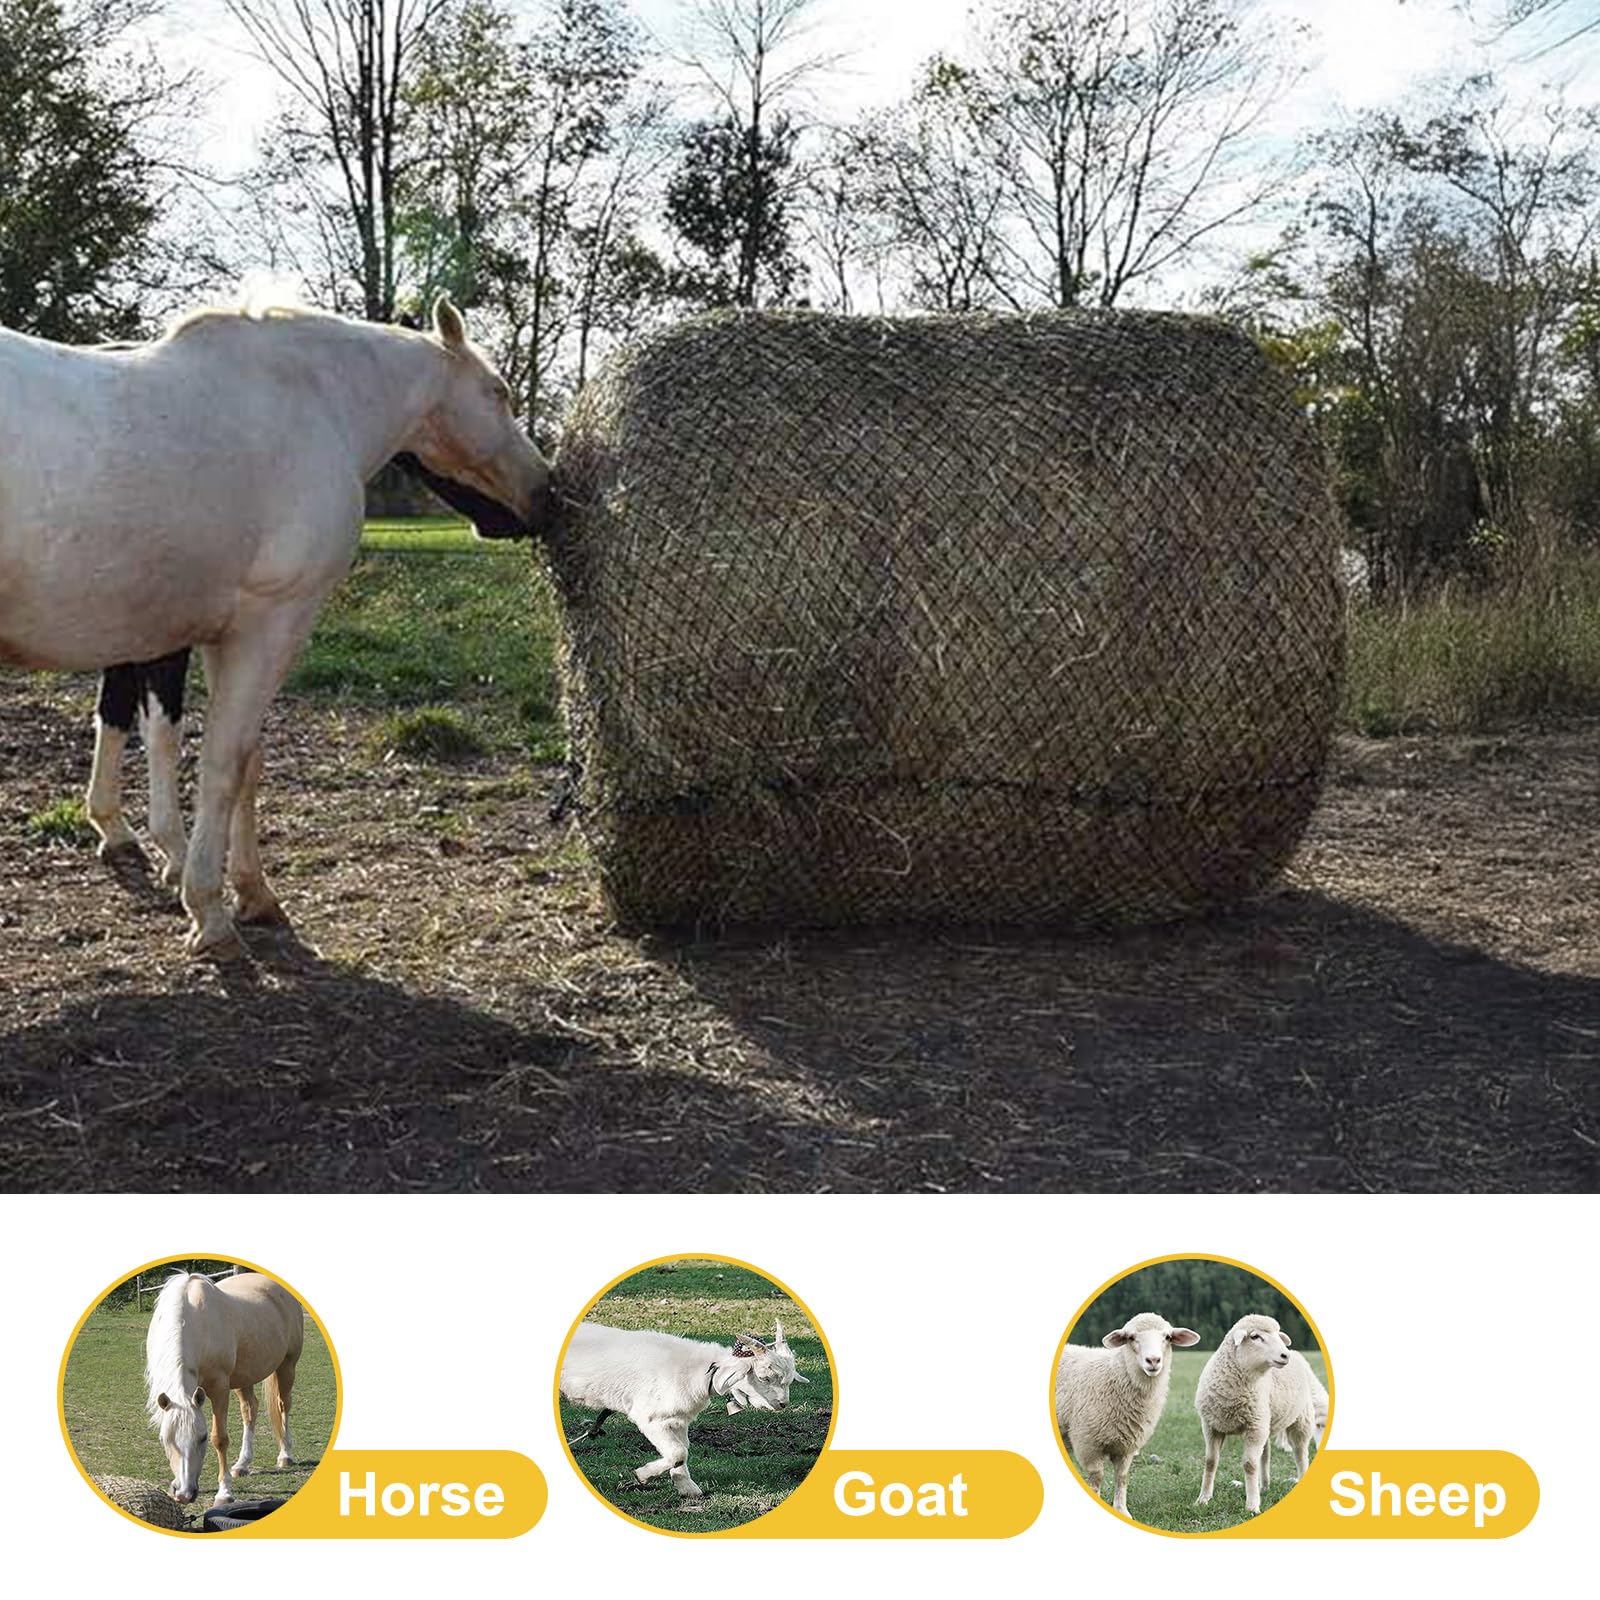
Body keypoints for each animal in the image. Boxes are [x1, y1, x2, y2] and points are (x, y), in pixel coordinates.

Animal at [0, 294, 549, 957]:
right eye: (498, 393)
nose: (548, 493)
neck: (314, 399)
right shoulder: (271, 624)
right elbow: (222, 762)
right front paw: (209, 909)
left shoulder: (224, 635)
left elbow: (243, 760)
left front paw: (251, 891)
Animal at [144, 1272, 305, 1506]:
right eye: (165, 1439)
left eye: (202, 1438)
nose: (184, 1494)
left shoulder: (219, 1389)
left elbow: (220, 1438)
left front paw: (224, 1493)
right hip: (244, 1377)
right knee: (250, 1409)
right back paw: (242, 1465)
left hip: (287, 1366)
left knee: (283, 1405)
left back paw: (285, 1455)